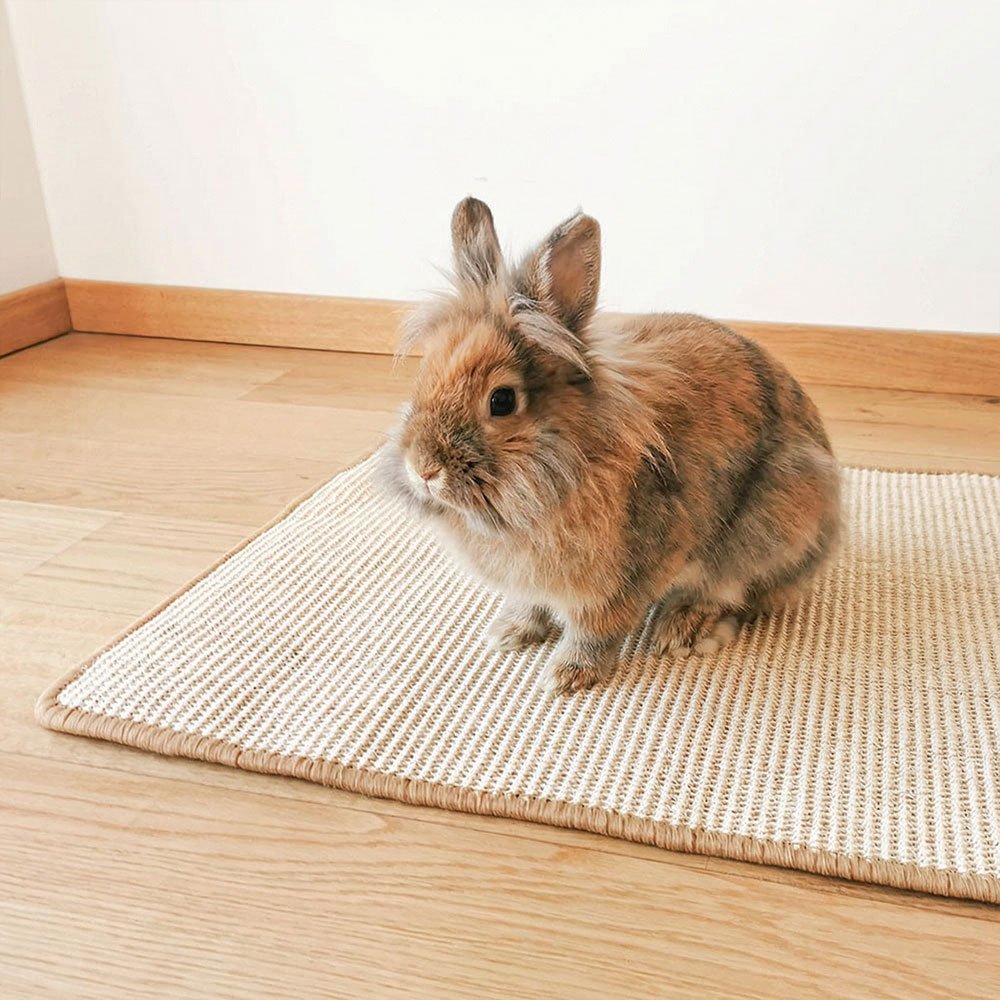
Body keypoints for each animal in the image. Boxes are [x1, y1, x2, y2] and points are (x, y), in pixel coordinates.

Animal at [378, 197, 841, 695]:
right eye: (423, 378)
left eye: (501, 401)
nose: (422, 468)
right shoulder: (532, 582)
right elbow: (529, 604)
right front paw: (508, 633)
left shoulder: (624, 577)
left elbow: (597, 627)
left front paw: (568, 675)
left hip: (774, 520)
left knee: (731, 588)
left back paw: (683, 630)